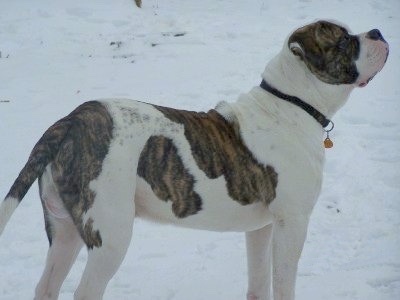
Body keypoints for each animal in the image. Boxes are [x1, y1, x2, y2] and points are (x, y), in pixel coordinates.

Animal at [0, 21, 388, 300]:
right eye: (344, 41)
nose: (378, 32)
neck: (291, 102)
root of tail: (69, 121)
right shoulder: (292, 222)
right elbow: (283, 284)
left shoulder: (261, 228)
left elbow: (259, 282)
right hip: (110, 236)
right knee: (85, 291)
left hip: (64, 231)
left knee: (46, 286)